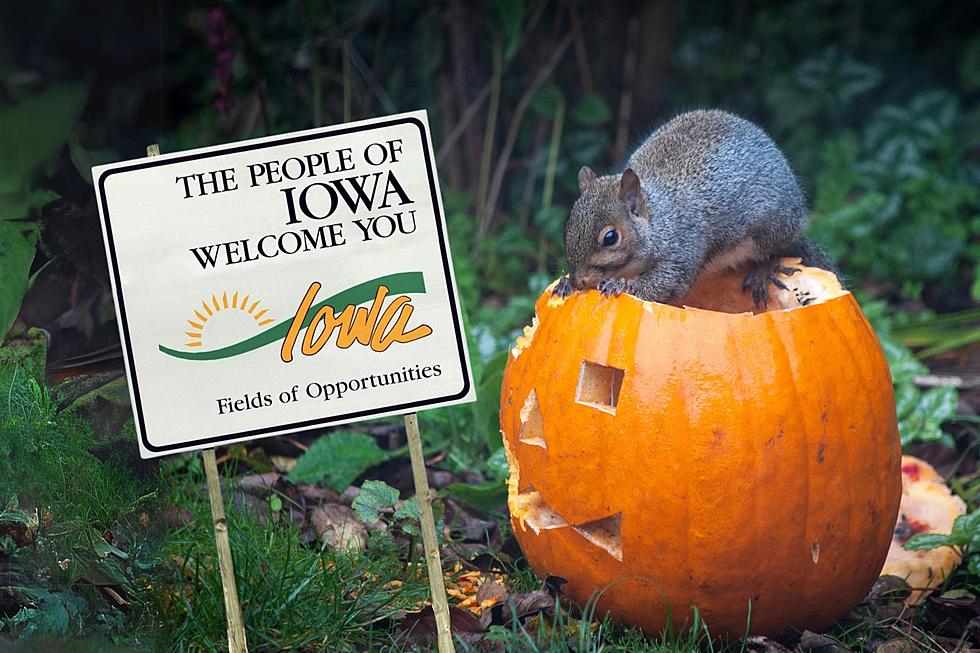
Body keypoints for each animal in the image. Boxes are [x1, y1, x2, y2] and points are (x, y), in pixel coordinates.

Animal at [556, 109, 840, 308]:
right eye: (568, 227)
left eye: (610, 238)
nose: (580, 281)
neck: (658, 218)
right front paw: (565, 285)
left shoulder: (682, 247)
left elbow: (666, 283)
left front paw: (619, 285)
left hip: (770, 229)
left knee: (776, 251)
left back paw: (764, 270)